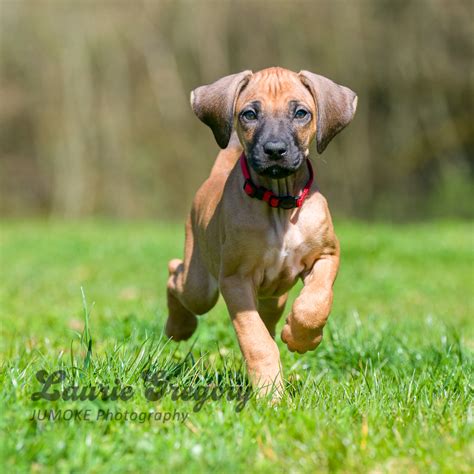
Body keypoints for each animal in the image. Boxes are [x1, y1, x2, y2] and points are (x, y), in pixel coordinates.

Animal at [166, 65, 356, 394]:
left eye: (301, 113)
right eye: (250, 114)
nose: (275, 150)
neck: (279, 204)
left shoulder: (327, 255)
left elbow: (315, 302)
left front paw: (301, 337)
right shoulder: (235, 280)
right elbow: (255, 339)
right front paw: (269, 392)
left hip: (273, 297)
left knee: (268, 319)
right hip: (201, 285)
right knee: (175, 273)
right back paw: (178, 326)